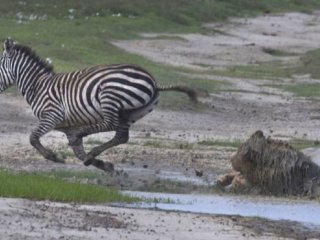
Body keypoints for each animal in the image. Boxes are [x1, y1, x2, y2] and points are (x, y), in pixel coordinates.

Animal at [0, 38, 198, 172]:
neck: (37, 85)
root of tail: (154, 81)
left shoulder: (52, 115)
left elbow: (33, 138)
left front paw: (54, 157)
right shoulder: (67, 126)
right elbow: (78, 152)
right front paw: (102, 165)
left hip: (109, 97)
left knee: (110, 125)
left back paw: (85, 139)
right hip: (132, 113)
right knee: (121, 136)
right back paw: (93, 153)